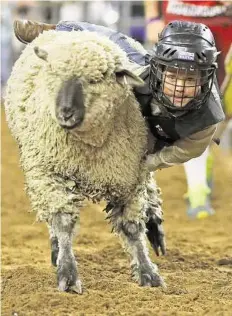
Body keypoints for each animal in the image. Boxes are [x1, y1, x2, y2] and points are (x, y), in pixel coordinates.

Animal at [4, 30, 166, 294]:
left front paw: (147, 272)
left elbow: (132, 229)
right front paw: (68, 275)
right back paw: (56, 249)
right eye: (55, 73)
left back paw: (154, 222)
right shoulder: (48, 174)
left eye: (95, 80)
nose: (65, 112)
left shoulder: (128, 180)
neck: (91, 146)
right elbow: (63, 223)